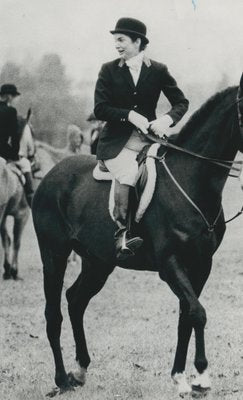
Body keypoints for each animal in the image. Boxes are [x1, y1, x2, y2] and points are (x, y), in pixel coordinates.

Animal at [31, 76, 243, 396]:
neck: (190, 180)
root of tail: (51, 175)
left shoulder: (201, 265)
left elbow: (186, 316)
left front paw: (181, 377)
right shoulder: (170, 264)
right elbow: (197, 313)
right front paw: (201, 377)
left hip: (98, 262)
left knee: (76, 300)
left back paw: (80, 371)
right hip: (54, 255)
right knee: (53, 314)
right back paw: (61, 380)